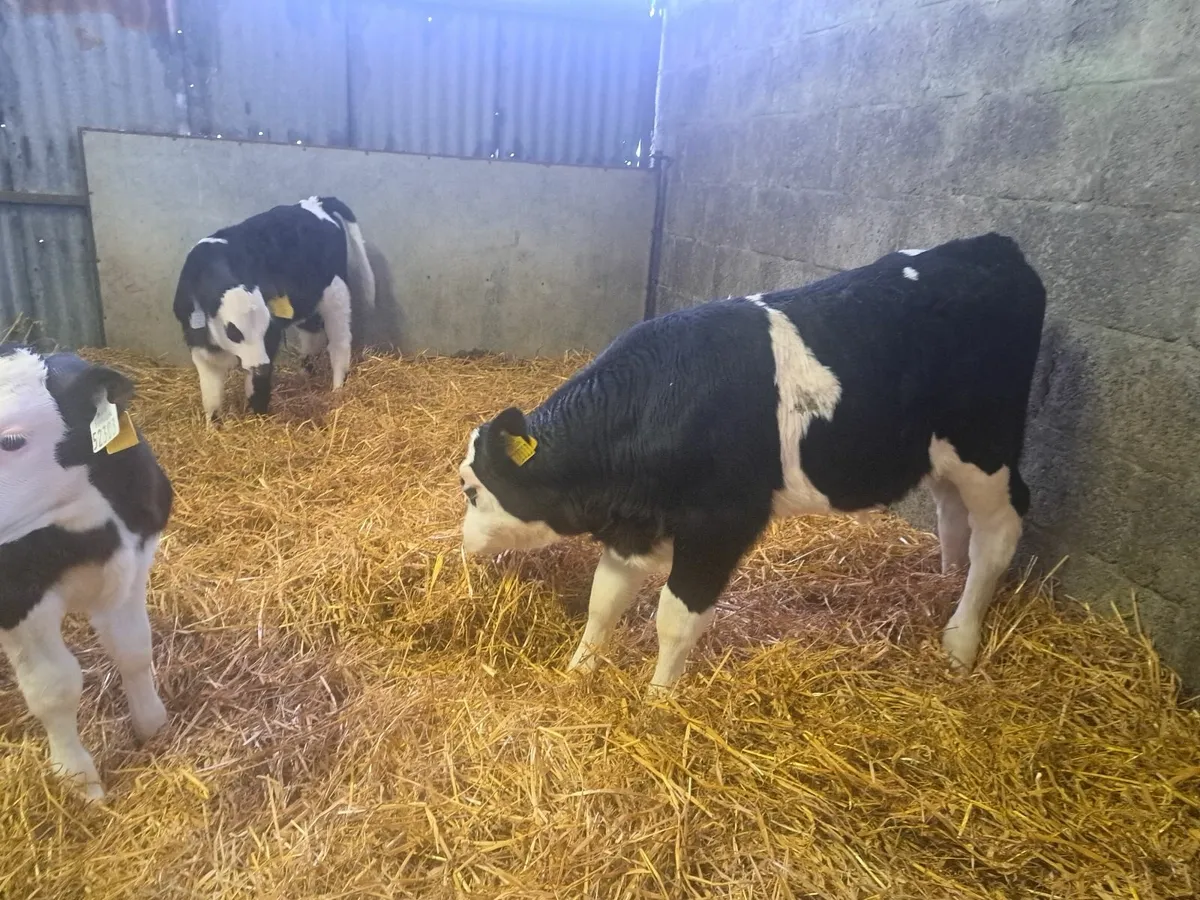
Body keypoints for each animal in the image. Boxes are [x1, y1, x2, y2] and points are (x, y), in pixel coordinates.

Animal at [0, 345, 173, 798]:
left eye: (11, 440)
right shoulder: (17, 600)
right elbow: (53, 688)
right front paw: (78, 781)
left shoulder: (134, 561)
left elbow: (134, 649)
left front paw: (152, 725)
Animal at [172, 195, 377, 422]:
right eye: (233, 331)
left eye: (266, 327)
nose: (262, 367)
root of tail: (316, 202)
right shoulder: (200, 348)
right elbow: (211, 398)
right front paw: (213, 426)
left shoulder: (270, 341)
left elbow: (256, 387)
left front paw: (259, 417)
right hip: (308, 301)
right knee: (312, 332)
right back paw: (304, 374)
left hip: (336, 294)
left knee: (339, 343)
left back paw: (338, 389)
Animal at [457, 233, 1046, 694]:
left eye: (470, 489)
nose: (465, 544)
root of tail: (993, 245)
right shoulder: (633, 525)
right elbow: (603, 602)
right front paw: (577, 673)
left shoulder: (721, 521)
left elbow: (675, 618)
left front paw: (658, 701)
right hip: (939, 453)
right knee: (953, 513)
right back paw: (945, 582)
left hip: (988, 446)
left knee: (999, 530)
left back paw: (961, 639)